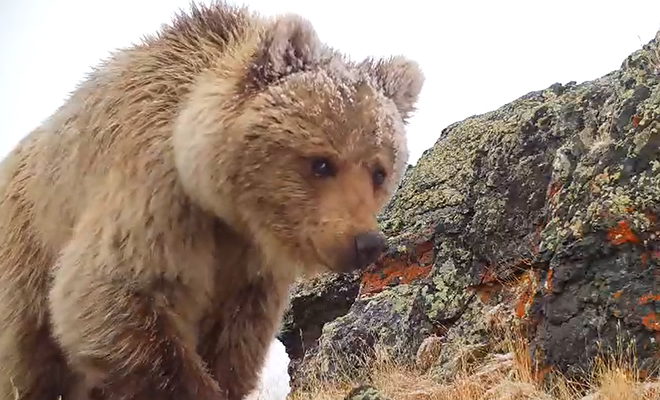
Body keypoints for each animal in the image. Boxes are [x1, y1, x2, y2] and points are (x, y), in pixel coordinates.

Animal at [0, 1, 422, 398]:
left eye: (379, 171)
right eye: (321, 162)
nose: (366, 242)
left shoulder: (250, 268)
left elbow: (237, 341)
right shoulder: (155, 200)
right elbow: (108, 292)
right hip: (25, 258)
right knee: (30, 360)